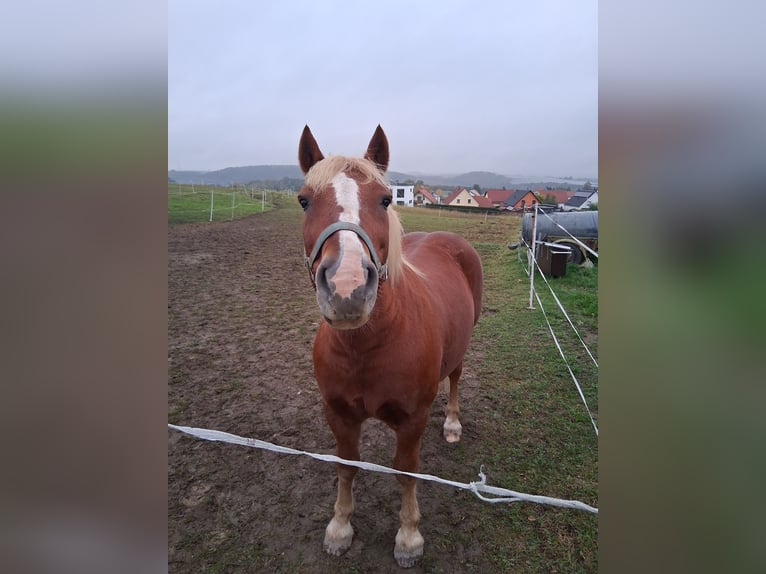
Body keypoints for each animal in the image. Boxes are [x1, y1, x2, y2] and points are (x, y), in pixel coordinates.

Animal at [297, 125, 483, 568]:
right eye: (304, 200)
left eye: (385, 199)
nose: (346, 288)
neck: (367, 345)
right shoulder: (338, 413)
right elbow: (346, 465)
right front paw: (340, 527)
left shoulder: (412, 419)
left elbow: (405, 471)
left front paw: (409, 537)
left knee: (455, 379)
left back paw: (452, 423)